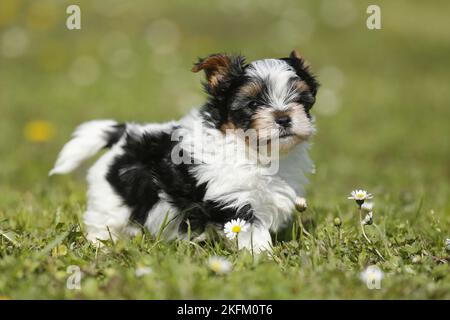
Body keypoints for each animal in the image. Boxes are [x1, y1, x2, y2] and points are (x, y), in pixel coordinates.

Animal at [50, 50, 320, 251]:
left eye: (299, 99)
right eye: (253, 103)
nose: (283, 118)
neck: (254, 152)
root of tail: (126, 135)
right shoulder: (233, 199)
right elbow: (252, 232)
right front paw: (264, 257)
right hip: (114, 198)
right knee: (103, 220)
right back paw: (102, 245)